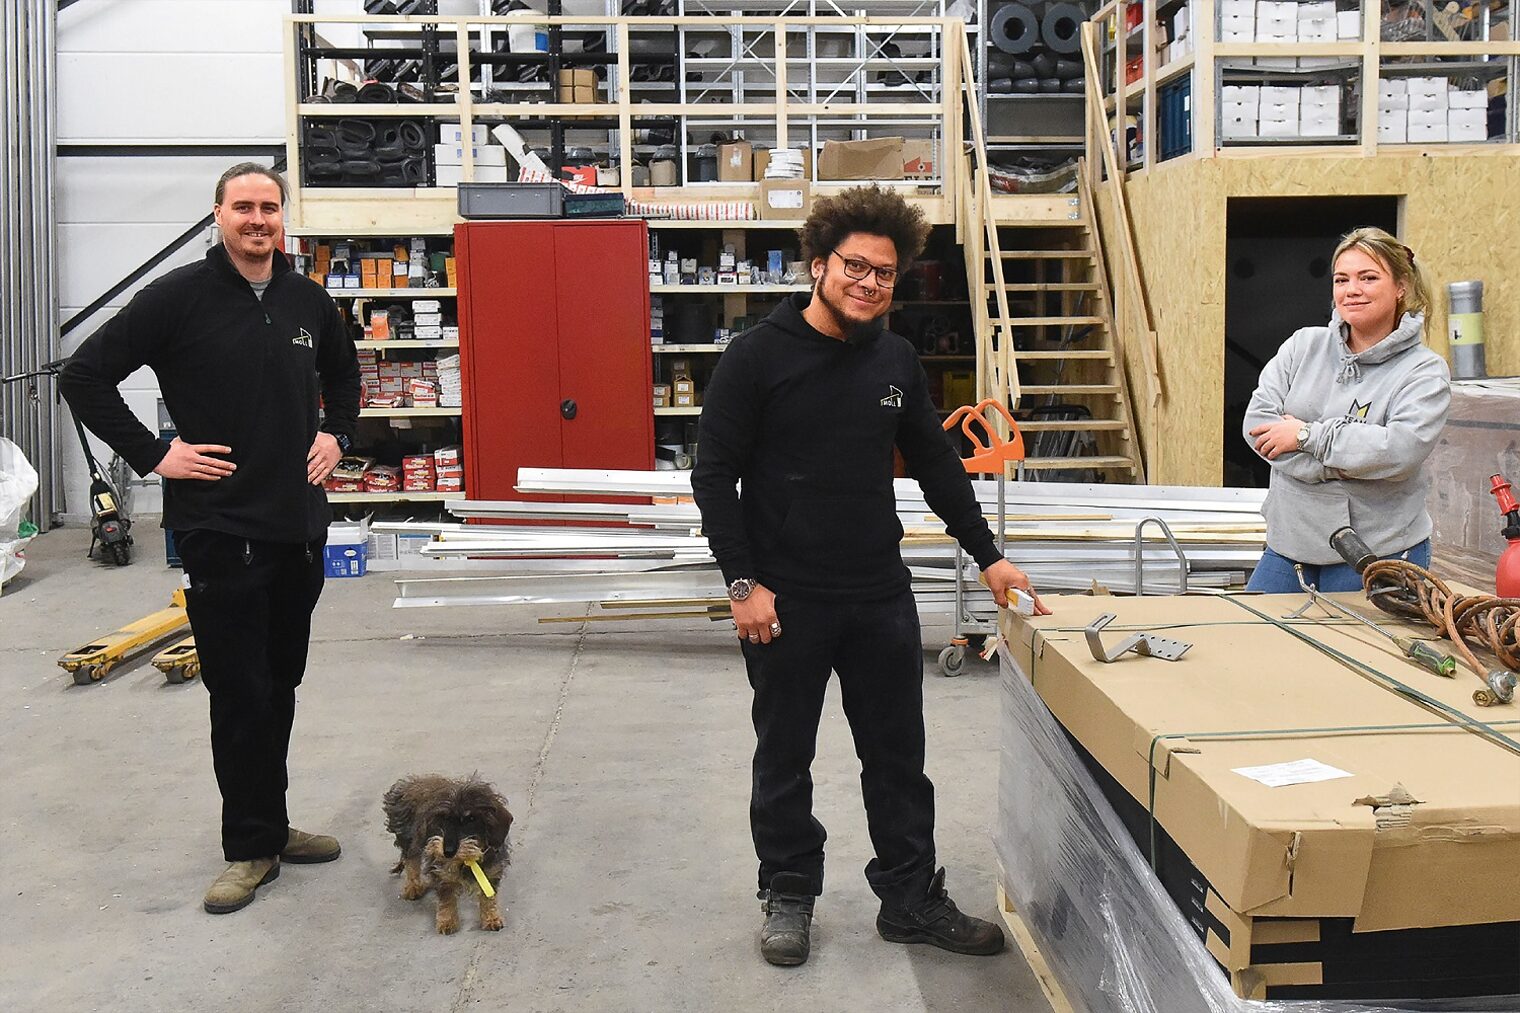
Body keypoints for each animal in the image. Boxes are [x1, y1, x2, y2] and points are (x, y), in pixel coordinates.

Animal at [383, 772, 513, 930]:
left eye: (471, 818)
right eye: (443, 819)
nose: (448, 852)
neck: (467, 860)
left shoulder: (492, 870)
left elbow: (488, 897)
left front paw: (491, 917)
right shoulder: (442, 872)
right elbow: (447, 897)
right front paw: (447, 921)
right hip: (409, 838)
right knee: (411, 862)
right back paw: (413, 887)